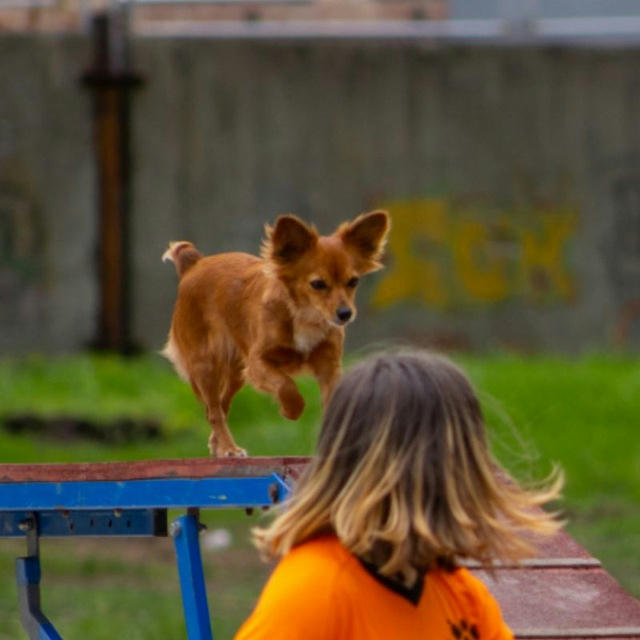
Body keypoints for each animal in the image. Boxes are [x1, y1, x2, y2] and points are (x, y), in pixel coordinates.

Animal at [160, 210, 390, 456]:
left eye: (353, 282)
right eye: (318, 284)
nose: (345, 314)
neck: (305, 316)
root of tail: (195, 264)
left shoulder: (328, 366)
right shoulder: (258, 362)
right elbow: (286, 386)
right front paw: (290, 410)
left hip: (236, 373)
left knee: (221, 405)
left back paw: (218, 445)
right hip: (206, 365)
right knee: (214, 411)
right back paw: (229, 448)